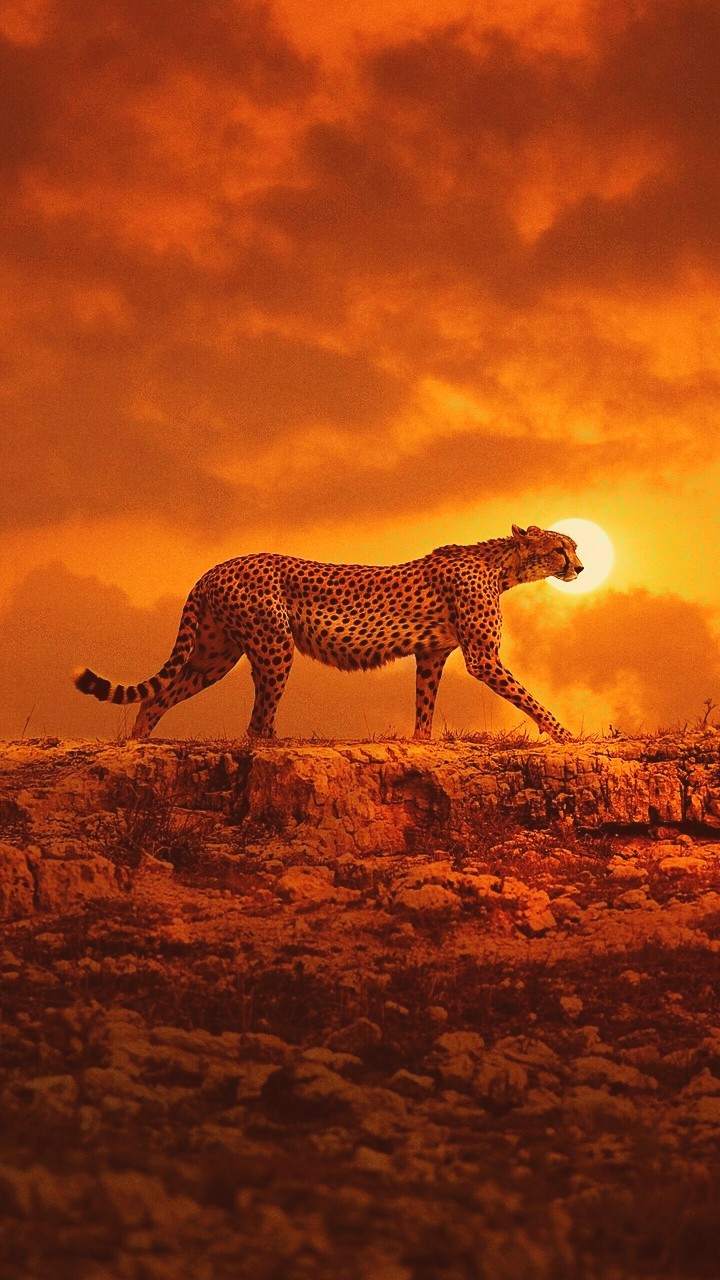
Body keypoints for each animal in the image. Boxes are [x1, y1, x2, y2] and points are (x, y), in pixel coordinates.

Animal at [73, 523, 583, 742]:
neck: (503, 566)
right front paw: (564, 733)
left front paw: (421, 741)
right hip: (273, 646)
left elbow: (425, 703)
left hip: (215, 656)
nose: (579, 567)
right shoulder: (483, 658)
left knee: (158, 696)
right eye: (561, 548)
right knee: (255, 723)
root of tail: (215, 567)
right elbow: (528, 697)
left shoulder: (432, 655)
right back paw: (274, 742)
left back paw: (137, 743)